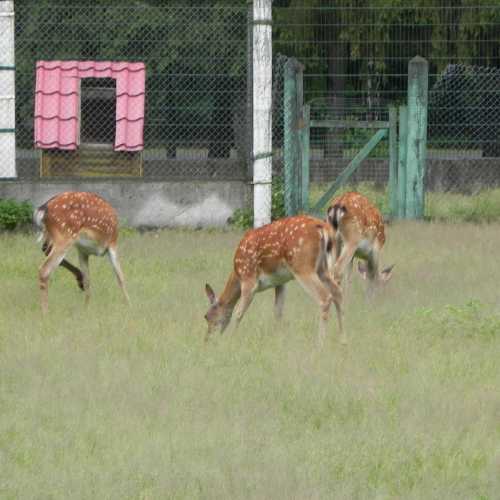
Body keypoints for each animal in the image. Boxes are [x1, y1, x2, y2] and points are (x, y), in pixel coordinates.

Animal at [203, 215, 344, 348]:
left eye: (207, 316)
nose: (207, 339)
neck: (237, 275)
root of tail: (322, 228)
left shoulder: (249, 279)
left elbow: (238, 312)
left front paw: (229, 341)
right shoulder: (280, 282)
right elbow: (278, 311)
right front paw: (279, 338)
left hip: (302, 266)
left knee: (325, 297)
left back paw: (319, 344)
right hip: (322, 269)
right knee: (338, 292)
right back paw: (343, 339)